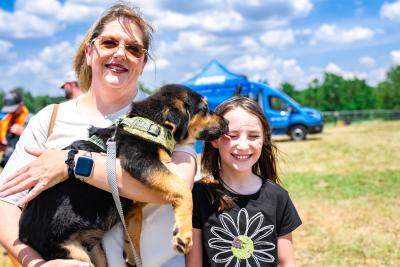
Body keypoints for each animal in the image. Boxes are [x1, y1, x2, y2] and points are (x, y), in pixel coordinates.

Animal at [18, 84, 227, 267]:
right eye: (205, 108)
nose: (227, 123)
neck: (153, 125)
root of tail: (23, 236)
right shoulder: (138, 159)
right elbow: (181, 187)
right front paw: (183, 234)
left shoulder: (131, 207)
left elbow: (134, 233)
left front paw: (132, 258)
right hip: (72, 255)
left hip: (95, 252)